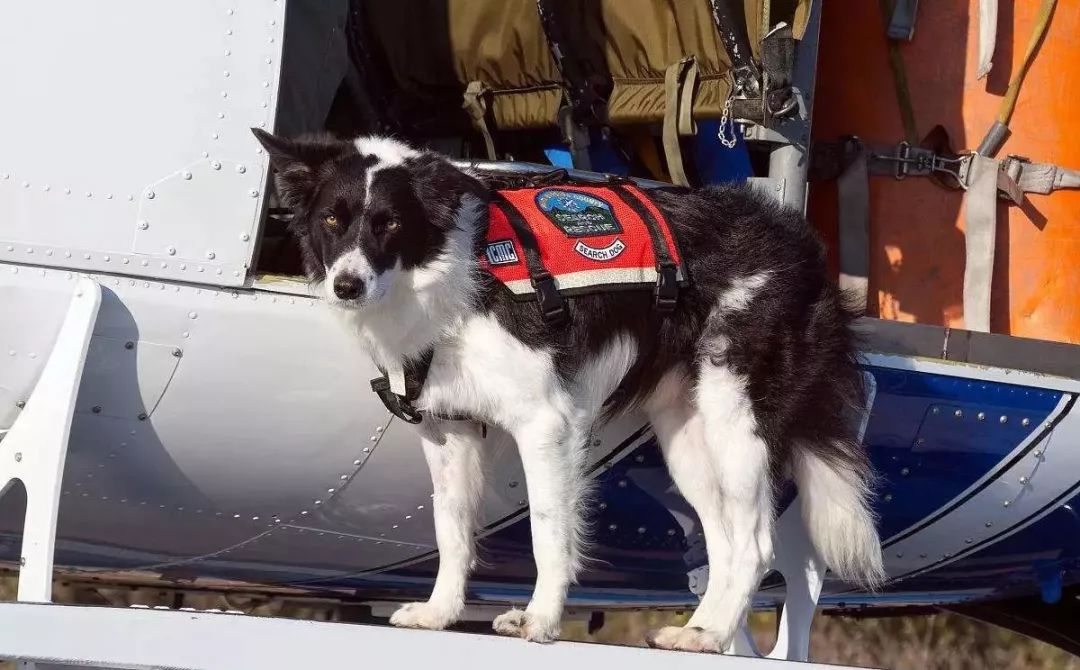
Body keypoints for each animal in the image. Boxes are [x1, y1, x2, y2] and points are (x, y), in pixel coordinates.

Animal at [252, 128, 885, 652]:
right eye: (331, 221)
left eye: (388, 224)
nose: (347, 286)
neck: (452, 270)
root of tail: (800, 245)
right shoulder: (448, 430)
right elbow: (451, 530)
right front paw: (440, 613)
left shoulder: (546, 423)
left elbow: (548, 532)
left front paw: (541, 621)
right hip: (689, 440)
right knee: (728, 544)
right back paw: (701, 632)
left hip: (737, 424)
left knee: (756, 544)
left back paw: (711, 635)